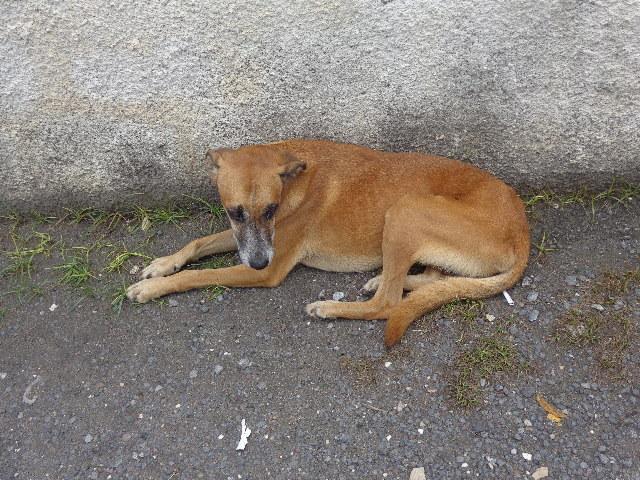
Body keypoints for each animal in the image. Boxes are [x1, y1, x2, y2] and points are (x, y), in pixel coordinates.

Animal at [126, 139, 528, 344]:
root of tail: (522, 230)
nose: (257, 261)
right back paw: (380, 279)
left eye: (270, 210)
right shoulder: (244, 239)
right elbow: (197, 243)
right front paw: (161, 265)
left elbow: (199, 275)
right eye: (235, 212)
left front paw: (154, 288)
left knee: (388, 304)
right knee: (429, 280)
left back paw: (331, 307)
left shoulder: (269, 266)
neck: (294, 179)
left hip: (405, 211)